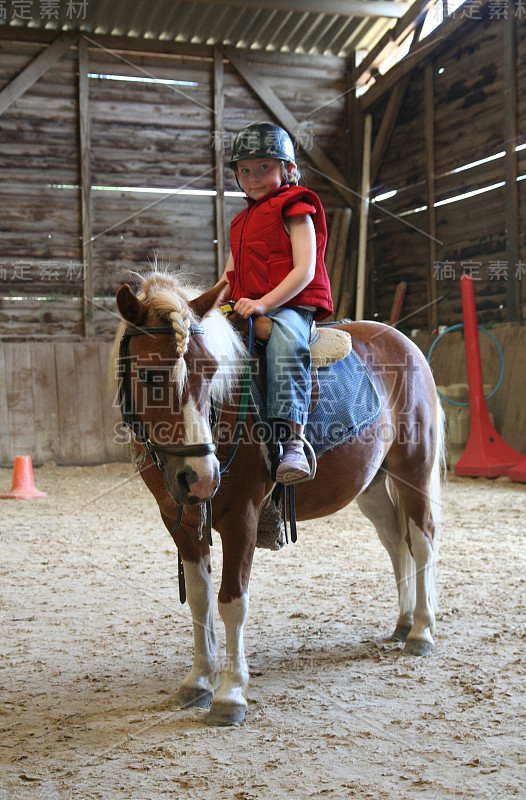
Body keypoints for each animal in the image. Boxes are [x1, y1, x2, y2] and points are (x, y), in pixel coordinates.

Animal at [110, 268, 446, 724]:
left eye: (211, 371)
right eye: (148, 375)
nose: (201, 477)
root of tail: (404, 342)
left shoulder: (243, 518)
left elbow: (231, 601)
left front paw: (230, 694)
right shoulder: (180, 522)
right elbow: (199, 600)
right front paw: (198, 680)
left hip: (414, 471)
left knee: (423, 540)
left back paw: (422, 630)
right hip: (372, 484)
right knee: (397, 542)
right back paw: (405, 620)